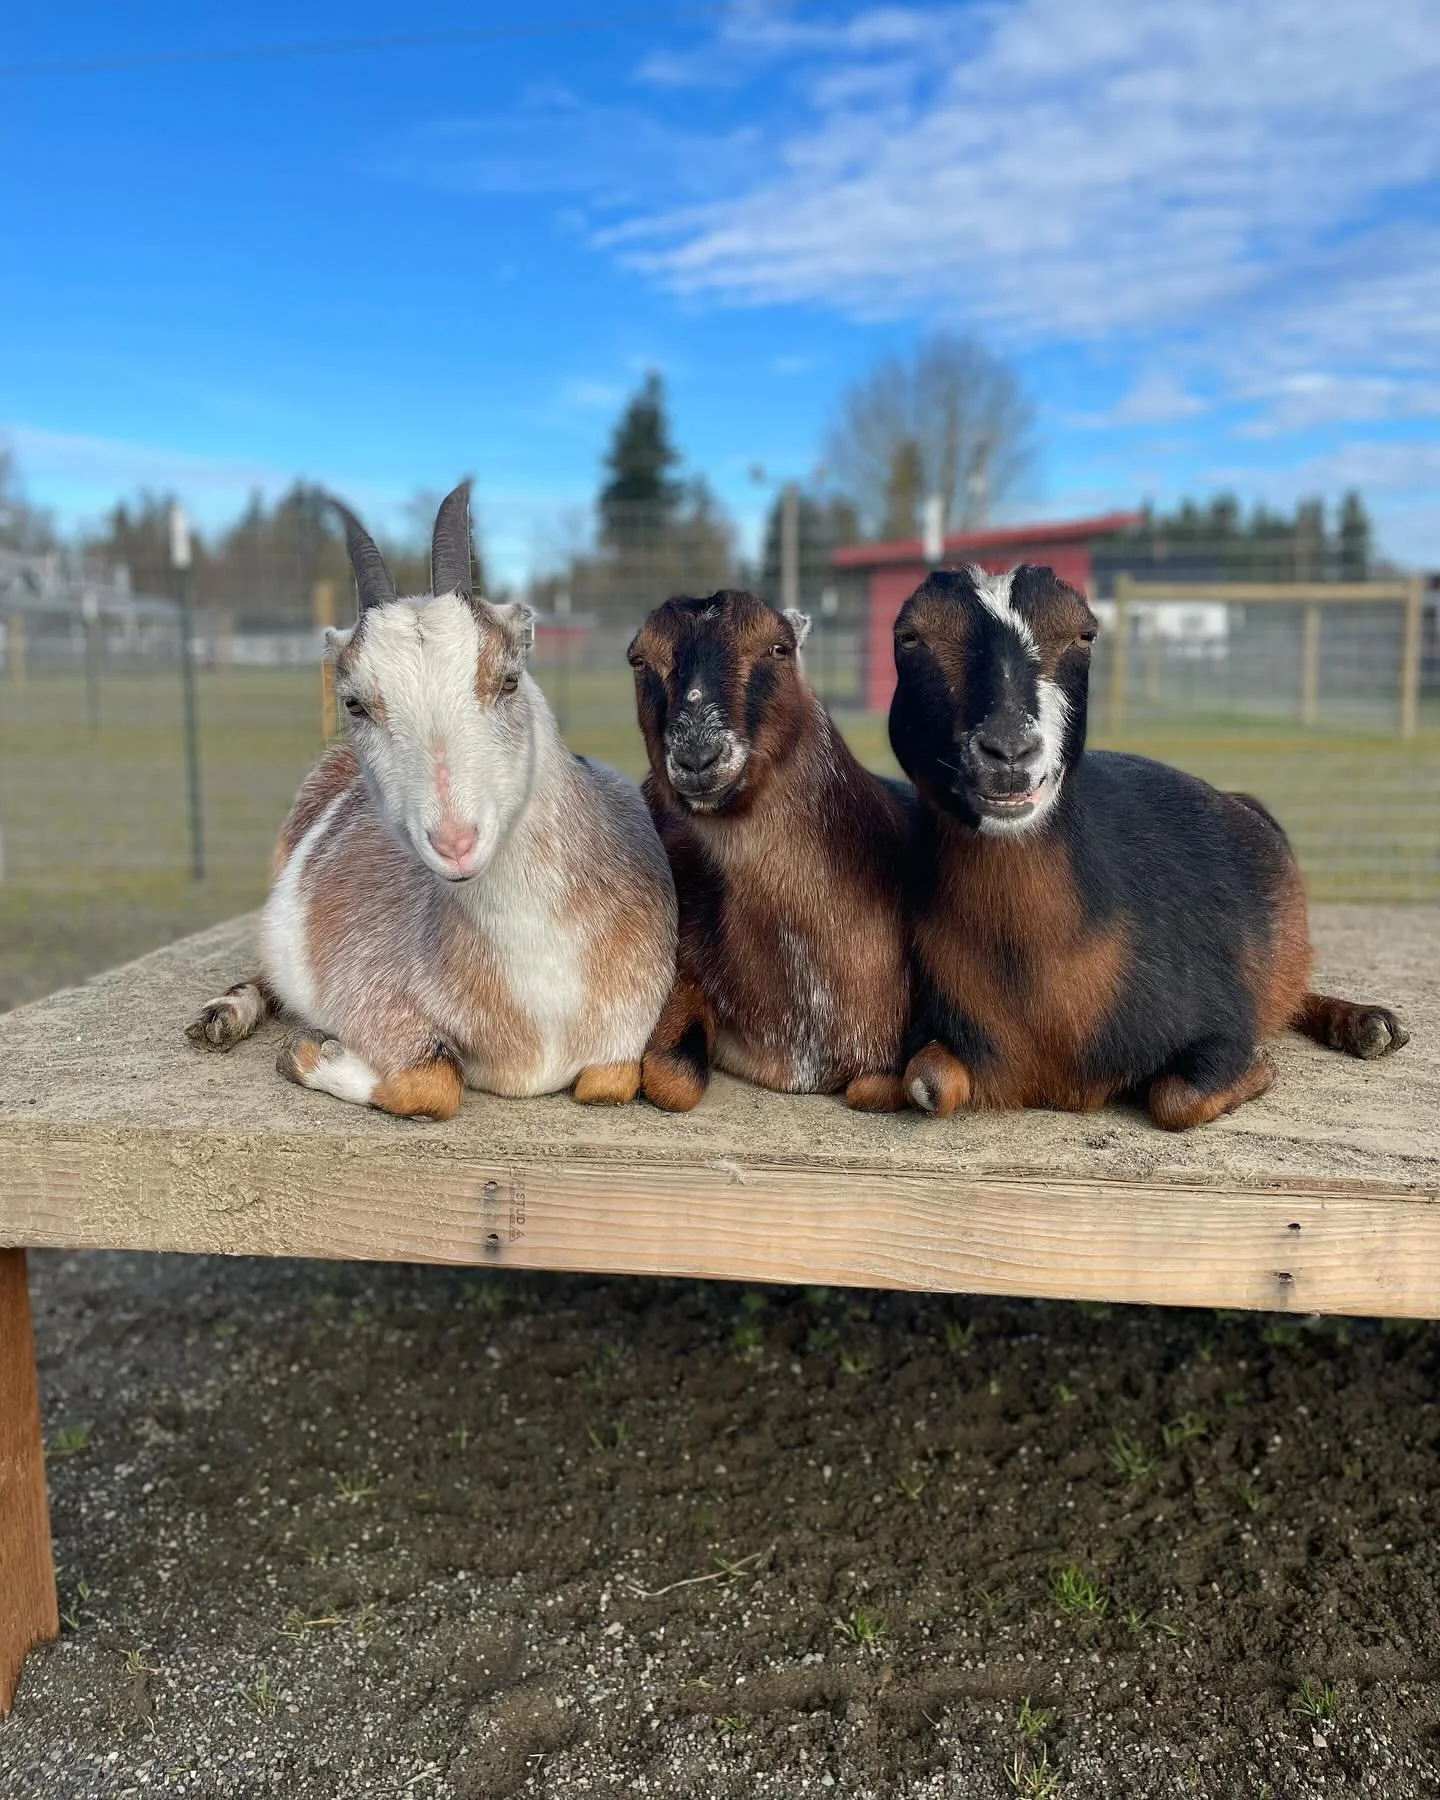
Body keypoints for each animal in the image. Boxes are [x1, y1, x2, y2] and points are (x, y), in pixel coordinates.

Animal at [187, 483, 676, 1118]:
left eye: (509, 678)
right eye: (354, 703)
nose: (455, 842)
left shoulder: (625, 1043)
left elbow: (608, 1084)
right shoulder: (368, 992)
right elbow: (435, 1082)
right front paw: (310, 1055)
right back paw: (221, 1016)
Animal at [888, 563, 1409, 1130]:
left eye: (1085, 635)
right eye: (910, 637)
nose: (1008, 752)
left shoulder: (1220, 1016)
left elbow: (1177, 1097)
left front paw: (1261, 1068)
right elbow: (927, 1084)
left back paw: (1368, 1024)